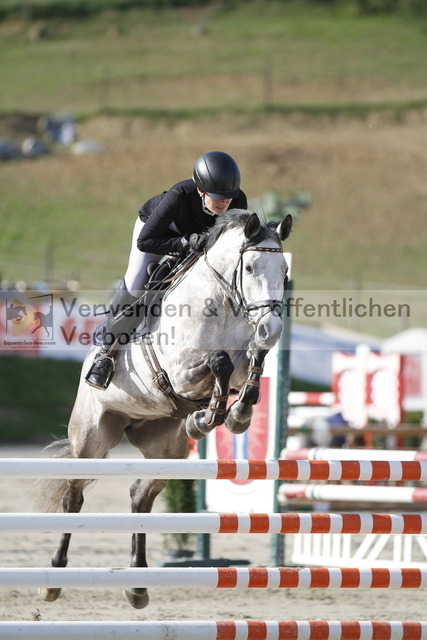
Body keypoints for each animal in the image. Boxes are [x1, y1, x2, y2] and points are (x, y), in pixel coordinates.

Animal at [38, 209, 292, 609]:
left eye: (284, 270)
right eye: (250, 267)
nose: (272, 328)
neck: (223, 303)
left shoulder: (241, 361)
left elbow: (251, 362)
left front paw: (233, 415)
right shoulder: (178, 369)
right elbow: (218, 362)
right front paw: (208, 416)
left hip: (165, 448)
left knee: (140, 496)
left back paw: (138, 586)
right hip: (91, 438)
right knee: (73, 496)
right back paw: (54, 577)